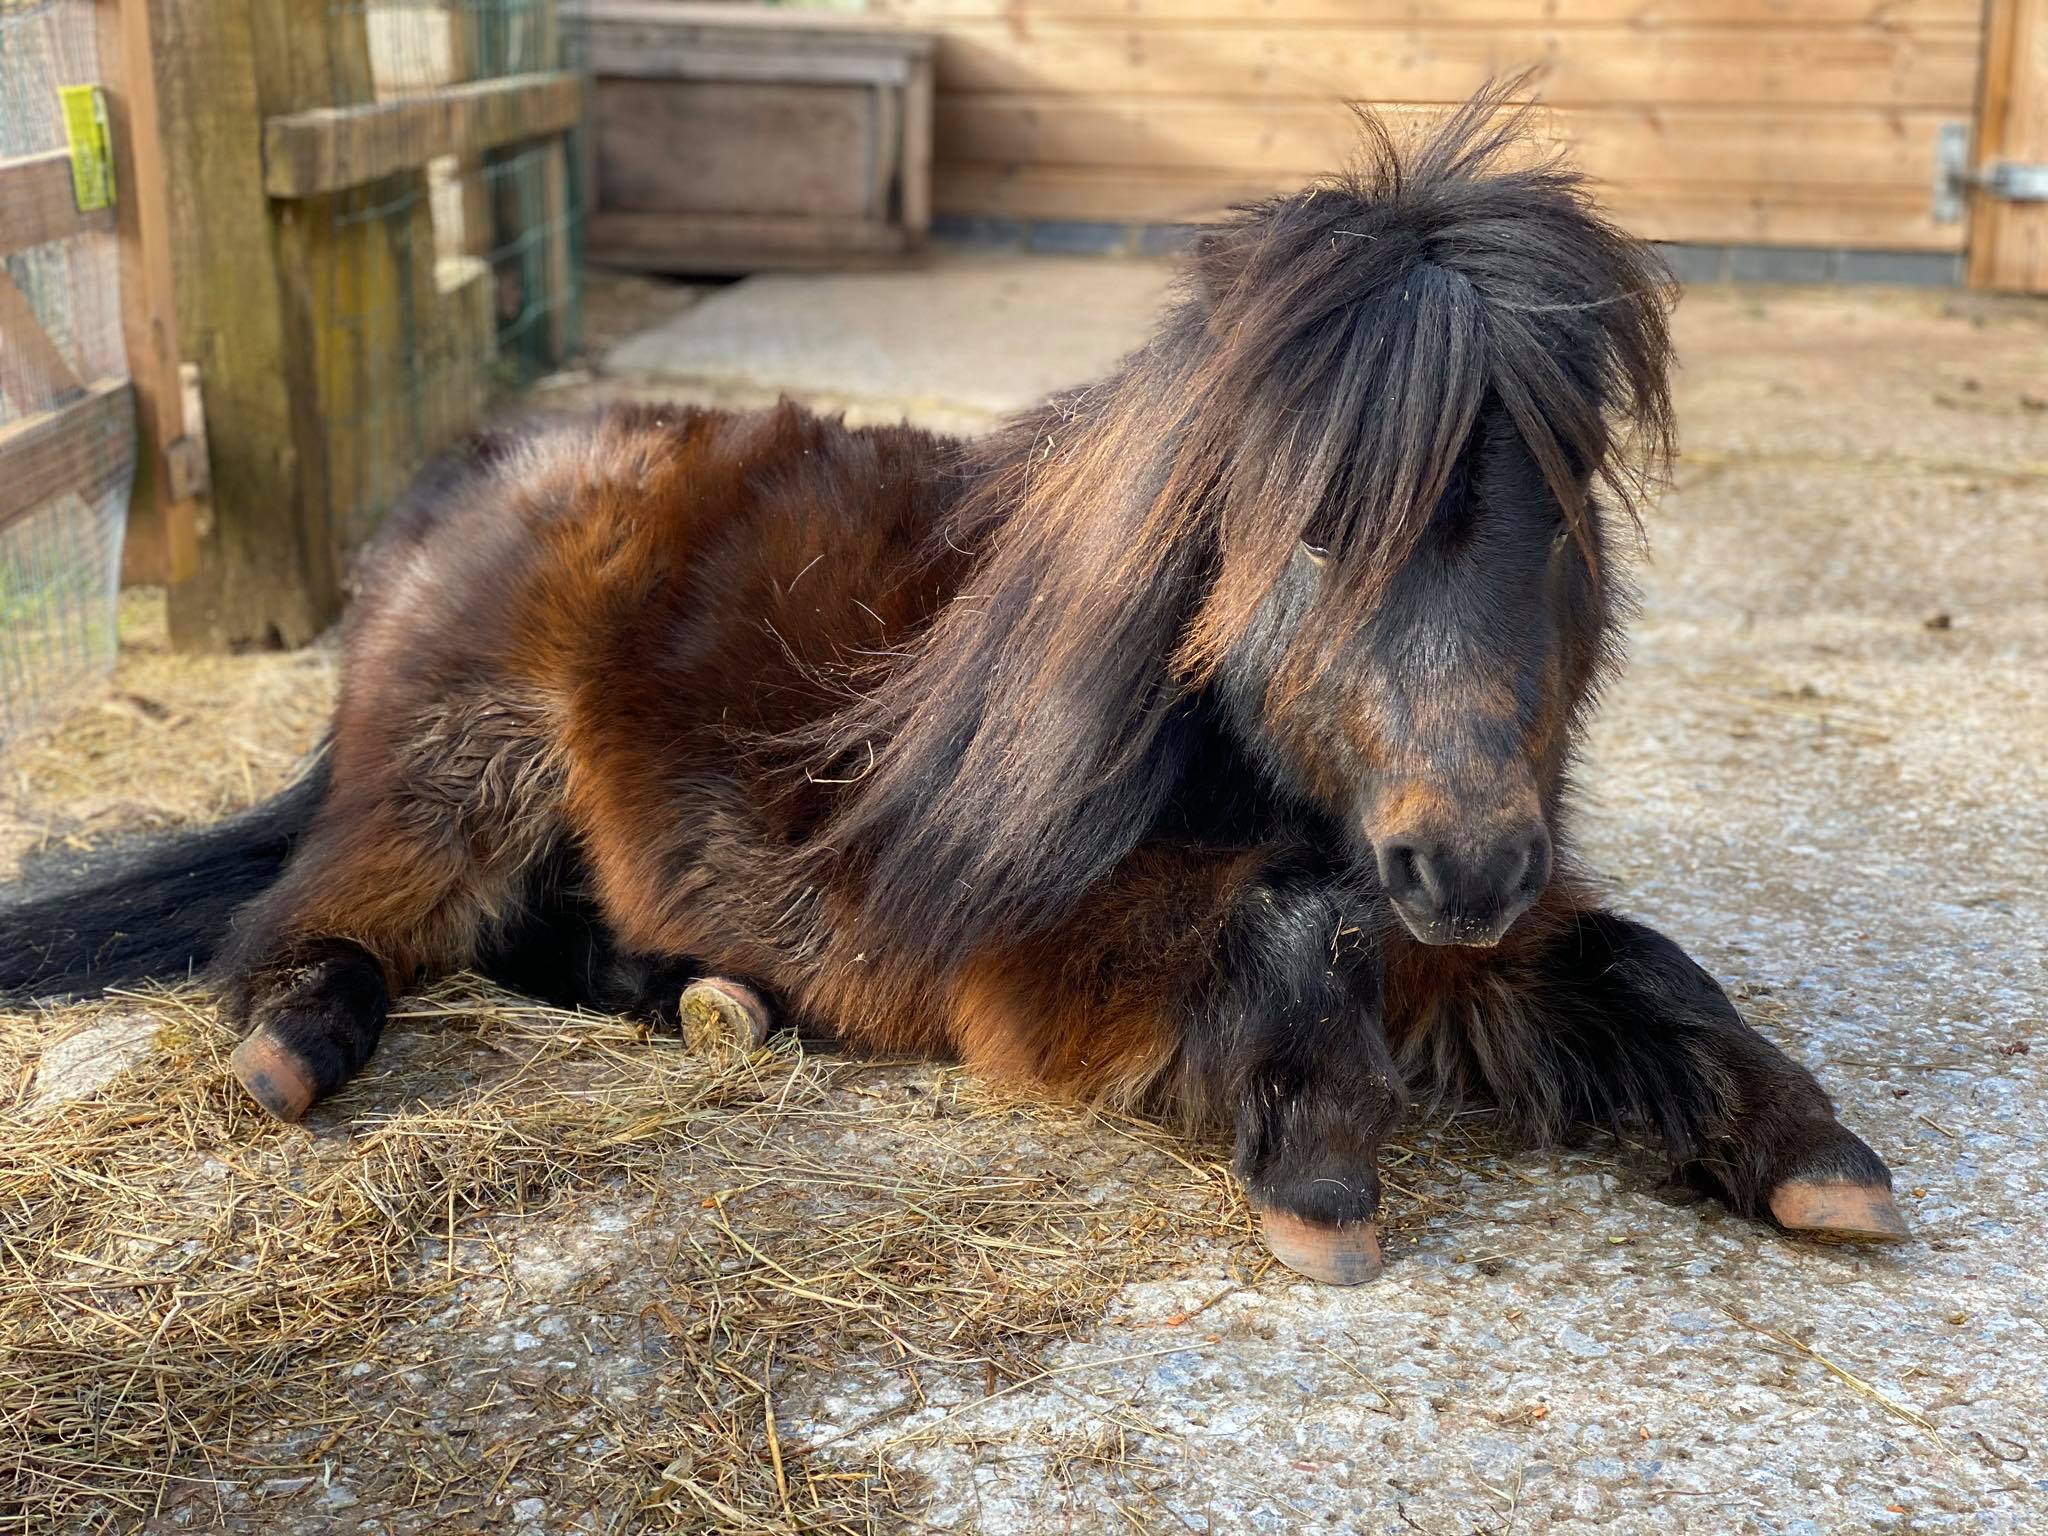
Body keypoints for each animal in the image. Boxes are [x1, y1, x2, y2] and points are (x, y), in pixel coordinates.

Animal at [0, 90, 1905, 1283]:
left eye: (1558, 523)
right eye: (1310, 533)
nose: (1473, 860)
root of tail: (454, 486)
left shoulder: (1457, 922)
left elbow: (1633, 963)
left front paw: (1806, 1151)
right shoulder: (1031, 964)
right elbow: (1301, 924)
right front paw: (1313, 1171)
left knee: (550, 933)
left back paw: (713, 999)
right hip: (456, 769)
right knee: (311, 925)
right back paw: (298, 1050)